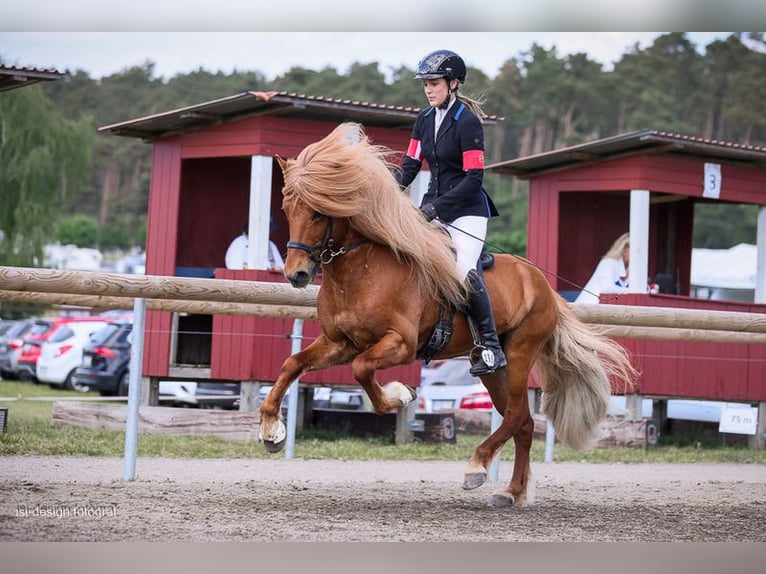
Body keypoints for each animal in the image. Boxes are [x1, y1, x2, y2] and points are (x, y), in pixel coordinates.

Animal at [260, 122, 636, 508]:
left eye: (318, 213)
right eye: (287, 209)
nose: (296, 274)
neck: (361, 269)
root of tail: (543, 285)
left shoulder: (400, 344)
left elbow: (363, 370)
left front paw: (400, 395)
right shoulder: (341, 342)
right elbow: (292, 365)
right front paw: (272, 431)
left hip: (520, 353)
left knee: (516, 415)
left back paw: (477, 467)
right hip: (492, 371)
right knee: (524, 422)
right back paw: (511, 492)